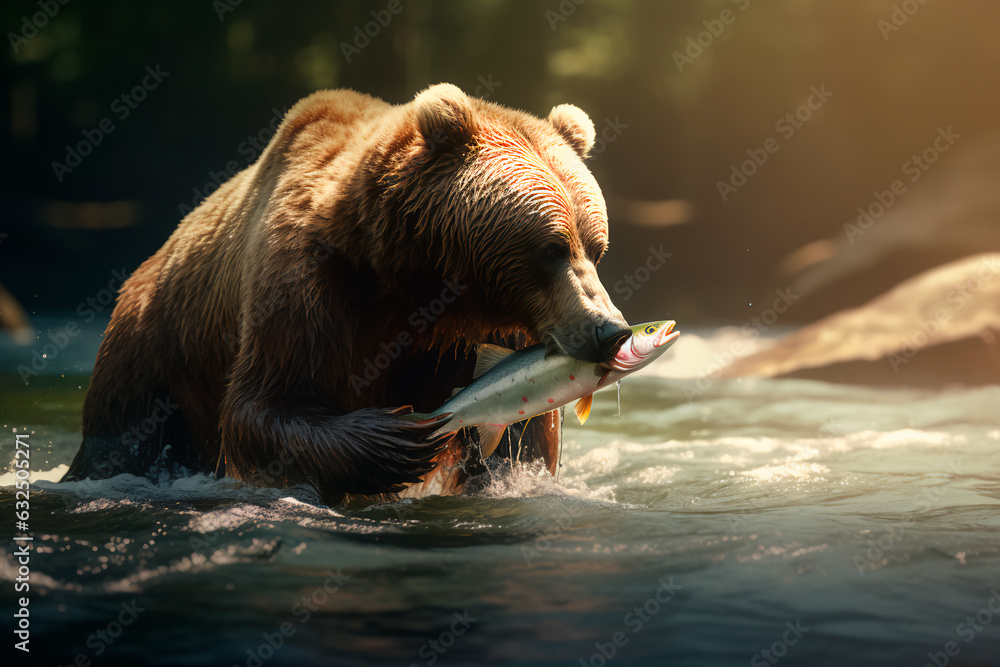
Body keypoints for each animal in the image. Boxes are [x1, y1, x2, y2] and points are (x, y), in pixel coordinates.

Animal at [62, 83, 630, 504]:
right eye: (551, 248)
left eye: (596, 247)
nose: (610, 330)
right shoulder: (308, 286)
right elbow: (264, 405)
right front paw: (394, 440)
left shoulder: (497, 324)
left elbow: (523, 435)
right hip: (157, 350)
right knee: (126, 436)